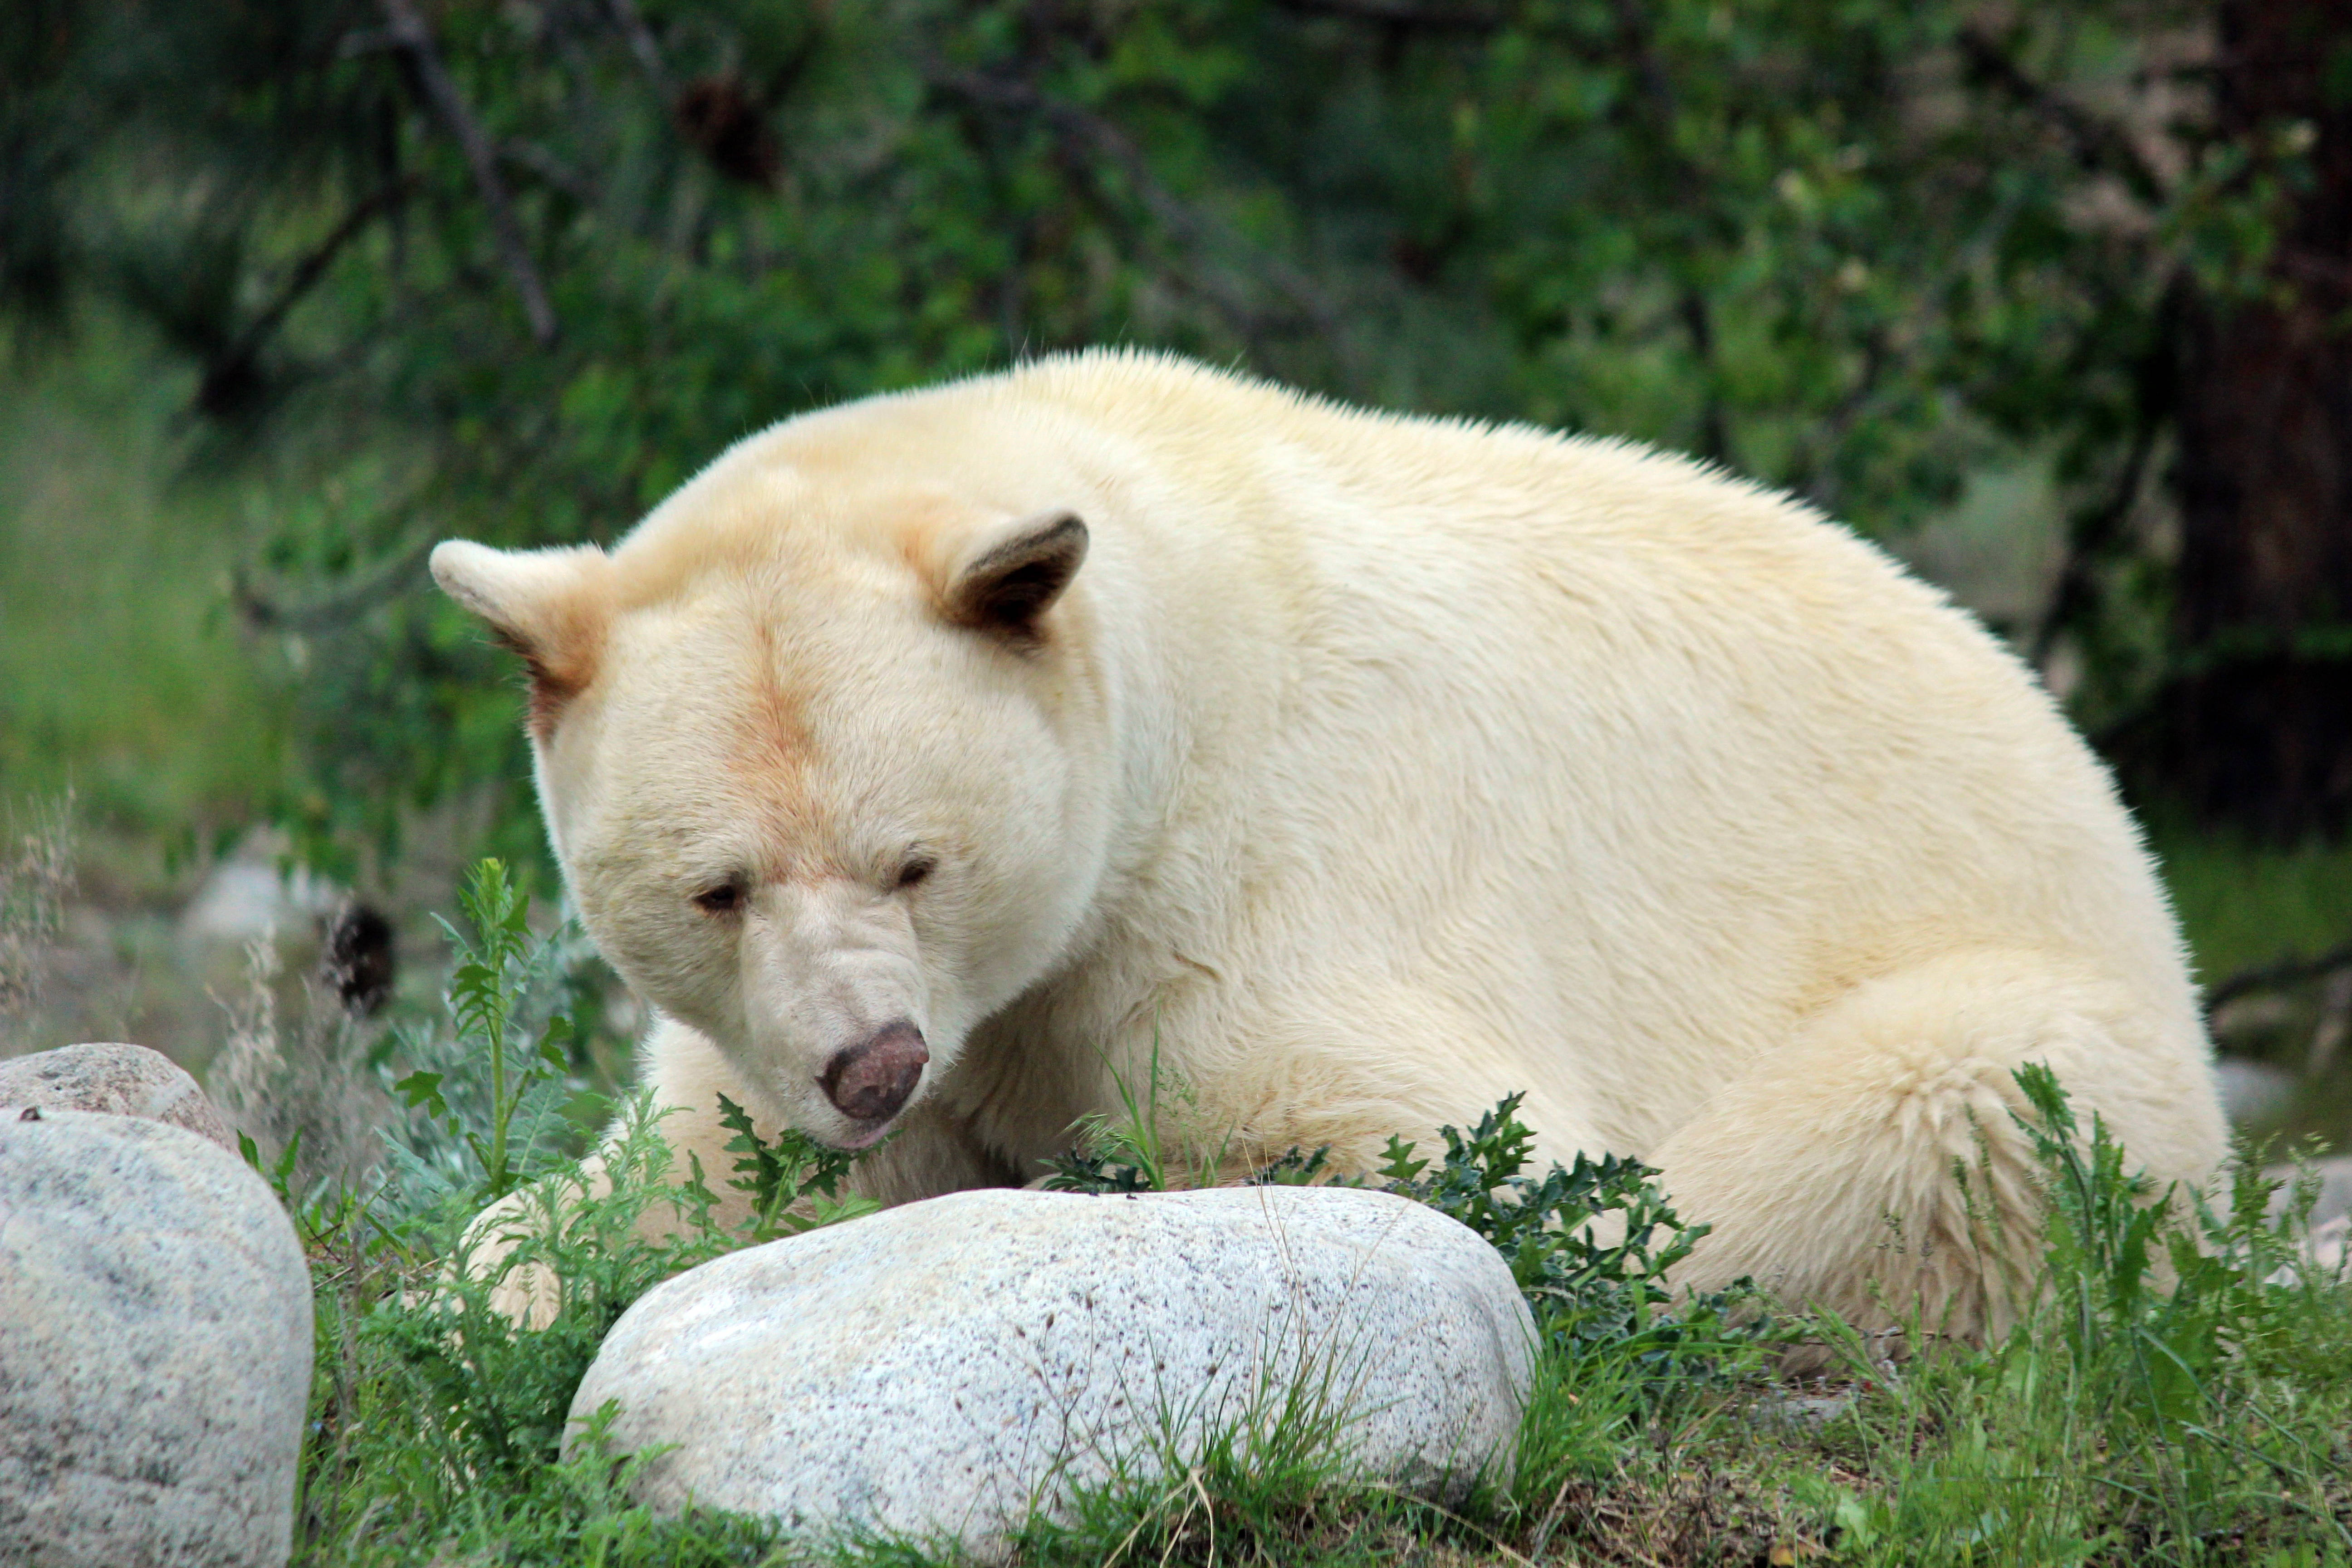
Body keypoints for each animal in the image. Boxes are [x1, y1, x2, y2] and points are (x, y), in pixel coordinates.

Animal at [430, 350, 2226, 1341]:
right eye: (716, 886)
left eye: (916, 858)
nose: (871, 1066)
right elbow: (680, 1163)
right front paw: (487, 1286)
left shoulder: (1283, 882)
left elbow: (1433, 1153)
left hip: (2039, 1027)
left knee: (1947, 1103)